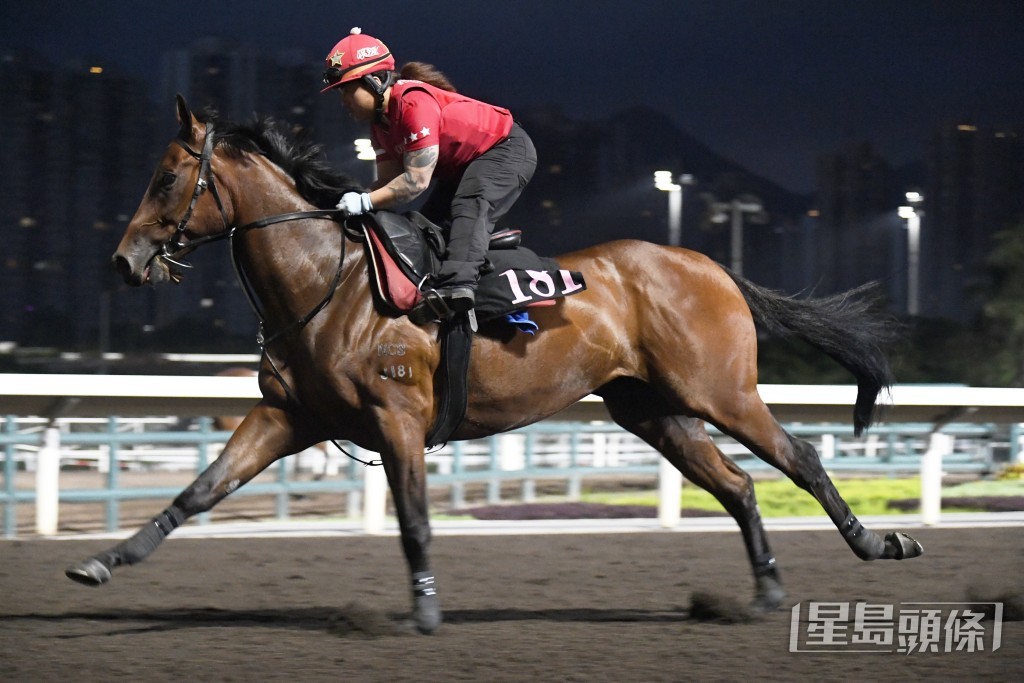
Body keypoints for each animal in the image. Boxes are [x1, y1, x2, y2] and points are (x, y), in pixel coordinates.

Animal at [66, 95, 922, 634]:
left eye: (167, 177)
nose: (122, 261)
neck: (326, 282)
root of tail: (714, 267)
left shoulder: (397, 419)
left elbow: (414, 520)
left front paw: (424, 612)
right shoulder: (289, 415)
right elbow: (201, 489)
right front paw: (105, 561)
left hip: (720, 389)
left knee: (800, 457)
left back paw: (879, 544)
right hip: (652, 407)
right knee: (739, 484)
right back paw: (767, 587)